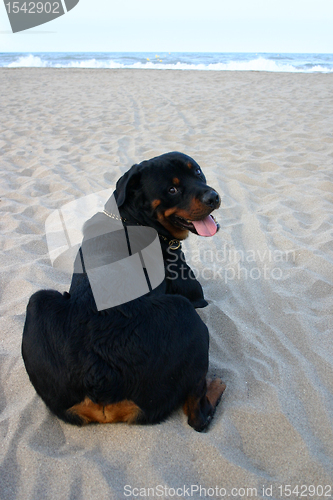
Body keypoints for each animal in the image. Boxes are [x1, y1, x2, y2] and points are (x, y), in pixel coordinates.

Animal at [22, 151, 226, 430]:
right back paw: (215, 386)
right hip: (186, 316)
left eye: (197, 172)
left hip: (38, 303)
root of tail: (101, 382)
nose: (213, 197)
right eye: (172, 189)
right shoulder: (190, 289)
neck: (132, 218)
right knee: (197, 416)